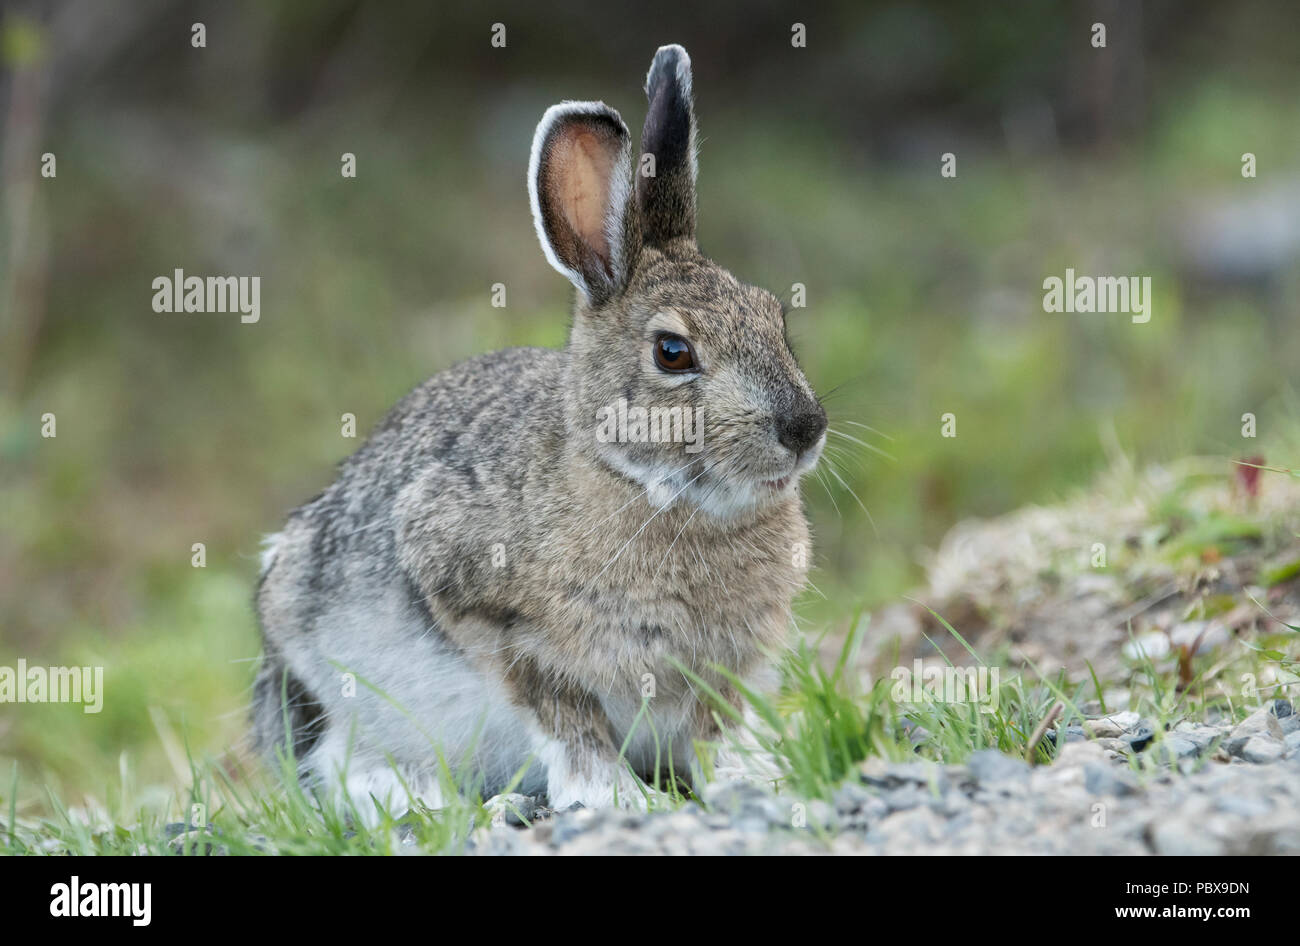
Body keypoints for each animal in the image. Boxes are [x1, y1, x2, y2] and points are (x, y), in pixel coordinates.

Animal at [251, 43, 827, 815]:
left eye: (774, 317)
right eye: (673, 352)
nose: (805, 427)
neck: (645, 485)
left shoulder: (725, 673)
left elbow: (715, 733)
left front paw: (755, 781)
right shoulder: (485, 608)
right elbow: (566, 715)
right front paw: (614, 796)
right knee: (342, 767)